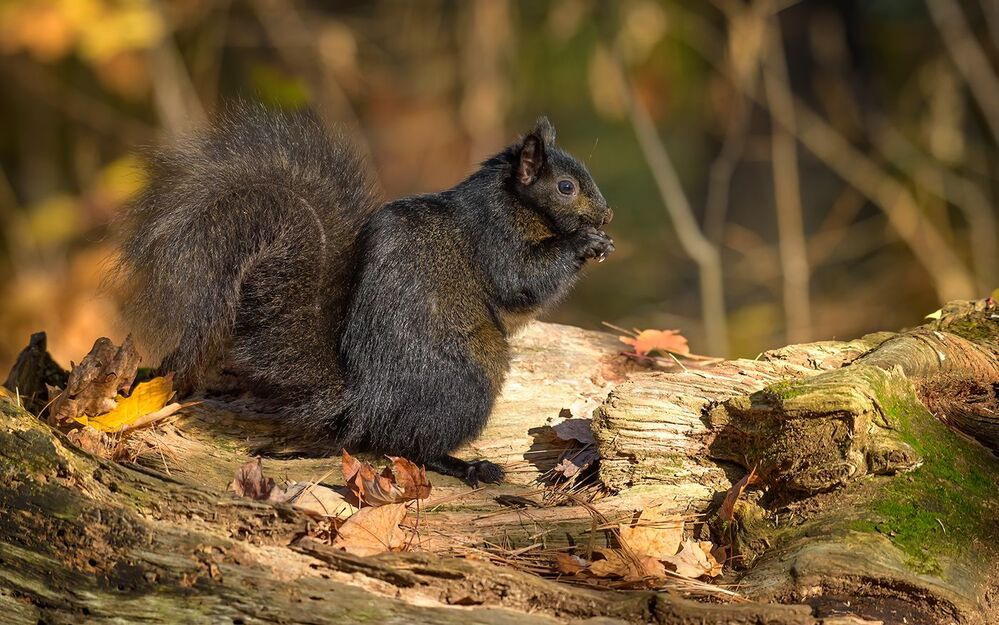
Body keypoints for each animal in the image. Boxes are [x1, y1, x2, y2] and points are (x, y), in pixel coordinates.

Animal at [112, 103, 614, 486]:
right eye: (566, 186)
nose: (607, 217)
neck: (515, 201)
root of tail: (365, 403)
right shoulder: (494, 237)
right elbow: (521, 279)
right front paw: (583, 243)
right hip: (467, 384)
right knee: (411, 446)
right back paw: (469, 466)